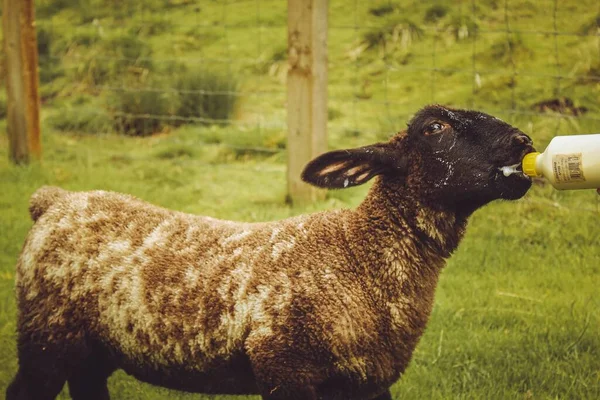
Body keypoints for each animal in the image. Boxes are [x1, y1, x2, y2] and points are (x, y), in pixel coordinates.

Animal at [8, 105, 536, 400]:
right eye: (435, 128)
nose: (524, 142)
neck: (360, 255)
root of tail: (54, 200)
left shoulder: (368, 381)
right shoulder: (285, 367)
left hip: (91, 347)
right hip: (46, 334)